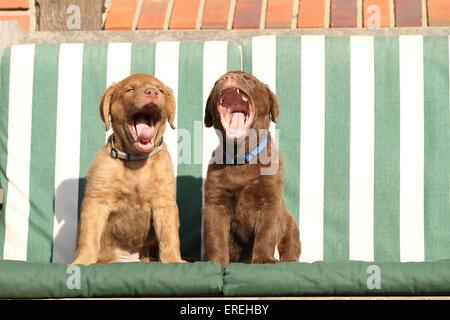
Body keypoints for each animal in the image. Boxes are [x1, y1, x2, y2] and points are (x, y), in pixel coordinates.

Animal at [73, 73, 182, 264]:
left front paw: (173, 260)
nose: (152, 92)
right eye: (130, 89)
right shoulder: (96, 201)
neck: (136, 161)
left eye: (160, 90)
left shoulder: (164, 203)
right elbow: (88, 237)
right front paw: (83, 260)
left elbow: (169, 238)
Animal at [202, 72, 300, 264]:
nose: (227, 78)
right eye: (217, 82)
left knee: (290, 245)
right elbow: (215, 235)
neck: (241, 157)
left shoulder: (270, 200)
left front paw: (264, 259)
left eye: (249, 79)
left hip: (290, 223)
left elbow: (266, 232)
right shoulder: (215, 202)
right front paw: (216, 261)